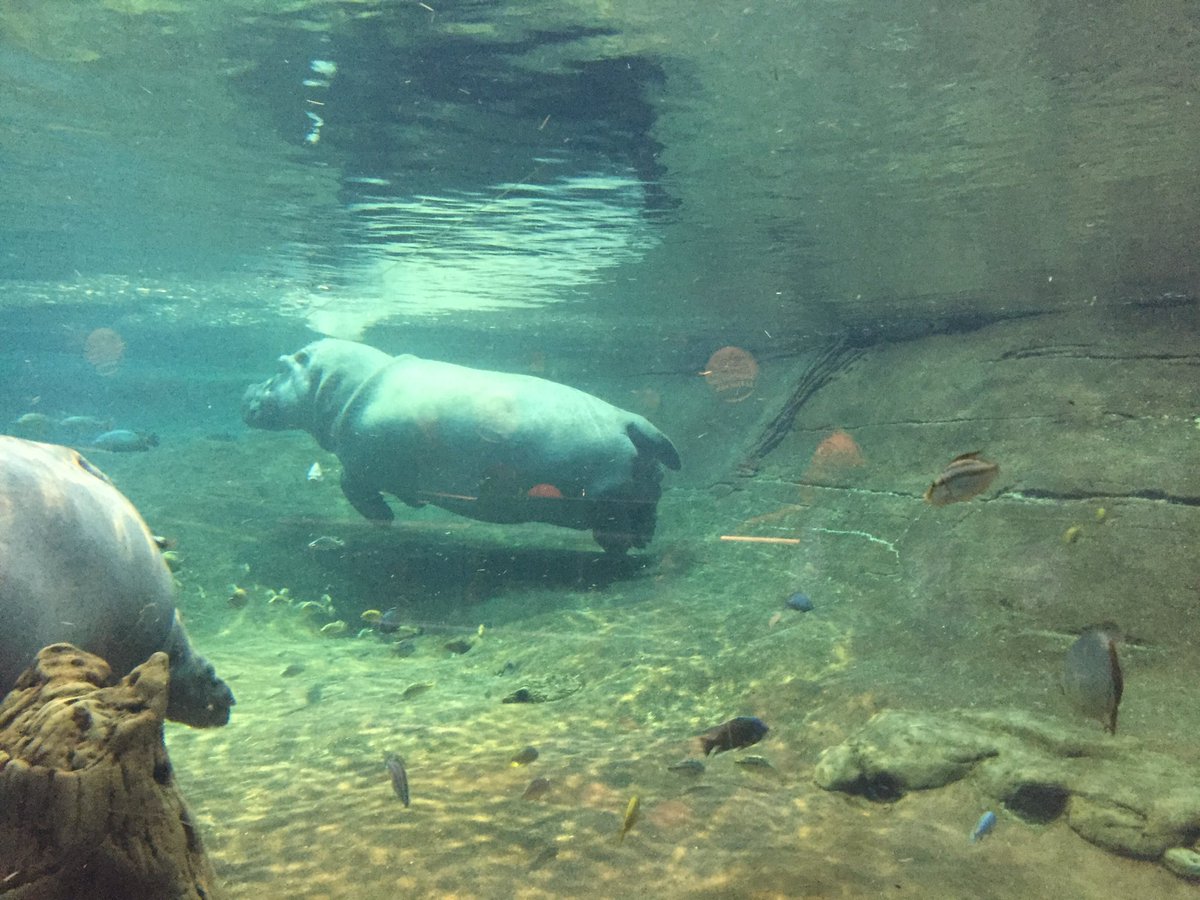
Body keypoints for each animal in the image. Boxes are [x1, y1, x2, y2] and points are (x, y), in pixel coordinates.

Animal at [242, 338, 681, 552]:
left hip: (604, 495)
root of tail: (631, 421)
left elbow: (351, 487)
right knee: (647, 512)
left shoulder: (358, 462)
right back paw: (641, 543)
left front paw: (385, 518)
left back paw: (623, 547)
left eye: (279, 366)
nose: (246, 392)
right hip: (639, 485)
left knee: (618, 522)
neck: (340, 385)